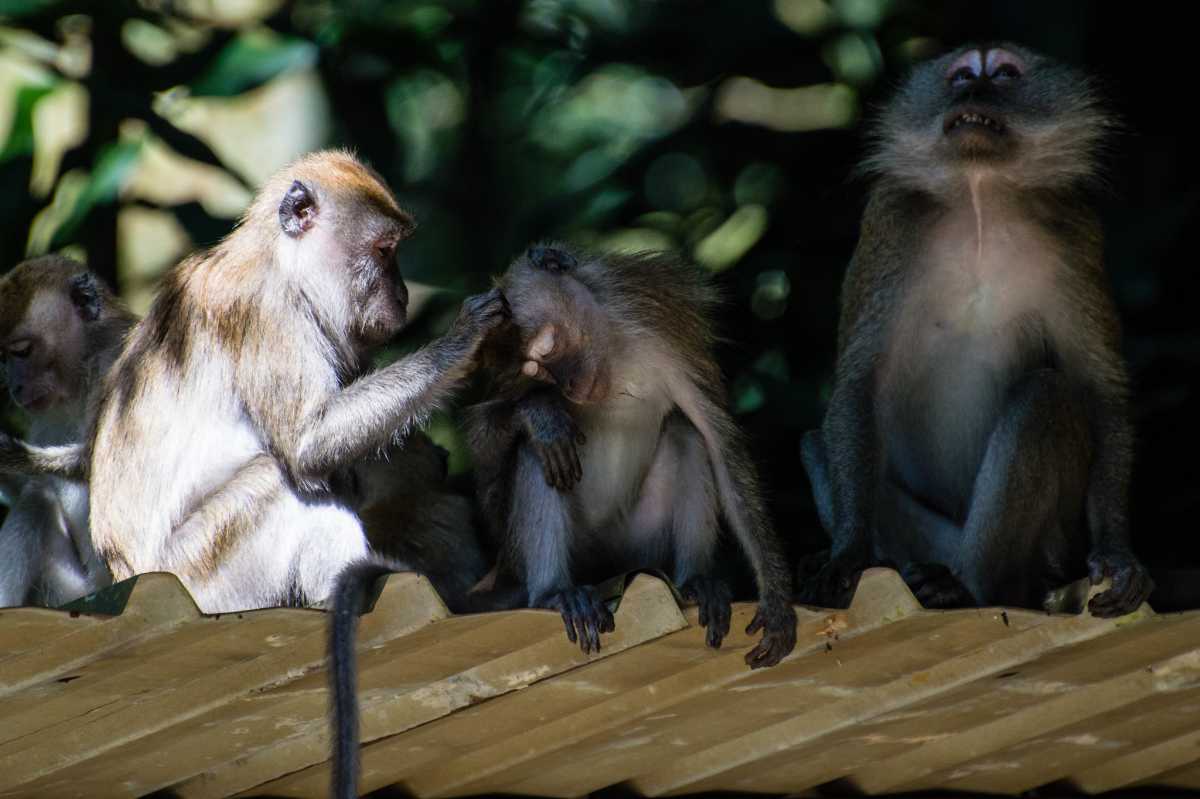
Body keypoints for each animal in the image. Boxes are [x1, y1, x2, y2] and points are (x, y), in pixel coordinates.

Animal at [0, 255, 136, 604]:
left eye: (22, 351)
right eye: (3, 358)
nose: (14, 387)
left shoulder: (118, 362)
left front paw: (12, 455)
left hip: (84, 587)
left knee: (38, 500)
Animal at [83, 149, 506, 609]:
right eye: (384, 250)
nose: (402, 293)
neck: (282, 264)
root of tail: (129, 573)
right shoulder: (266, 310)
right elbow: (307, 444)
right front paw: (464, 341)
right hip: (204, 575)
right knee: (277, 477)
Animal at [465, 242, 796, 667]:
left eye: (550, 348)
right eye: (536, 370)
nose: (567, 387)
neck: (614, 357)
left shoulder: (661, 323)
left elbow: (718, 438)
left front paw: (776, 600)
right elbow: (486, 465)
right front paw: (540, 414)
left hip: (641, 541)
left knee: (684, 431)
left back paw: (695, 580)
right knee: (536, 452)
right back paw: (555, 591)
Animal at [796, 41, 1152, 614]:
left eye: (1003, 75)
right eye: (961, 76)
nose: (974, 90)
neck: (981, 196)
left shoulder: (1076, 231)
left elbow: (1099, 392)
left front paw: (1118, 553)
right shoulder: (891, 222)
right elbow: (859, 383)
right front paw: (847, 555)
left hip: (1046, 549)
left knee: (1045, 397)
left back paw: (969, 585)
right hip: (930, 539)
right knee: (813, 441)